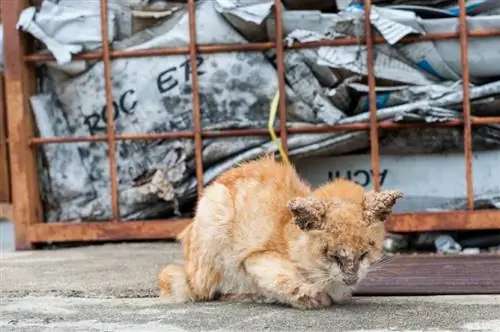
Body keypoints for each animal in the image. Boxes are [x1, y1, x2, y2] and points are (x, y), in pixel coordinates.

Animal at [159, 154, 402, 310]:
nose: (351, 277)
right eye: (331, 255)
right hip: (214, 219)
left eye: (365, 253)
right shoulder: (255, 260)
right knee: (212, 291)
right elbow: (286, 281)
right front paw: (312, 298)